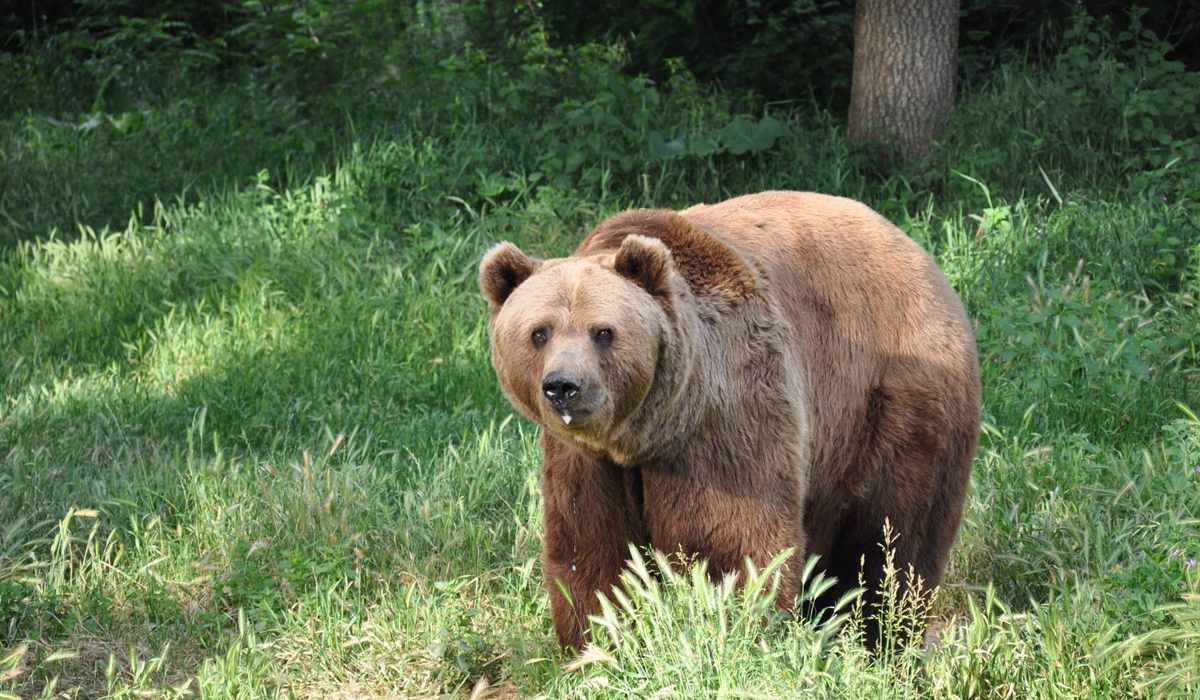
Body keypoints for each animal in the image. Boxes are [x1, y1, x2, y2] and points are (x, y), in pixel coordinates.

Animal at [475, 190, 974, 653]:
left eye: (603, 331)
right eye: (539, 332)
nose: (564, 386)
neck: (646, 433)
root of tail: (914, 248)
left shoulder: (728, 415)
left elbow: (733, 546)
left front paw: (735, 631)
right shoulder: (585, 461)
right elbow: (594, 553)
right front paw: (603, 644)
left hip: (894, 402)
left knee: (894, 539)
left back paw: (883, 636)